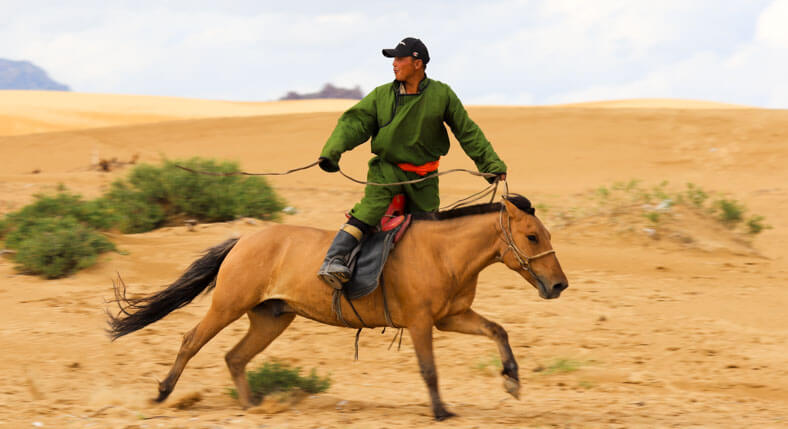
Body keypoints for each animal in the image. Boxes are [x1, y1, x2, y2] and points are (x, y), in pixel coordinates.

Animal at [109, 195, 568, 422]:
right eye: (531, 236)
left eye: (545, 234)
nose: (558, 284)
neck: (443, 253)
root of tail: (242, 241)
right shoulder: (422, 323)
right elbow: (429, 369)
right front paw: (440, 411)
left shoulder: (451, 318)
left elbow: (499, 331)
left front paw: (512, 381)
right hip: (227, 306)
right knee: (191, 341)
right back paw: (163, 393)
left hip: (271, 319)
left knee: (234, 357)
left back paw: (254, 407)